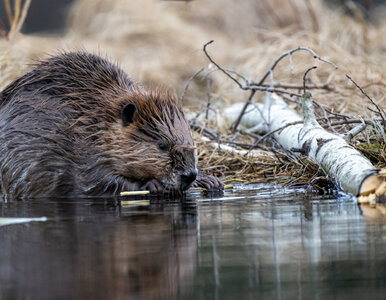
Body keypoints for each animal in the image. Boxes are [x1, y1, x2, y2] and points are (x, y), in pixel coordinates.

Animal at [0, 52, 223, 199]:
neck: (92, 122)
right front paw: (151, 184)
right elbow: (95, 182)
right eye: (161, 145)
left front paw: (209, 181)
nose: (189, 174)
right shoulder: (81, 154)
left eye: (191, 141)